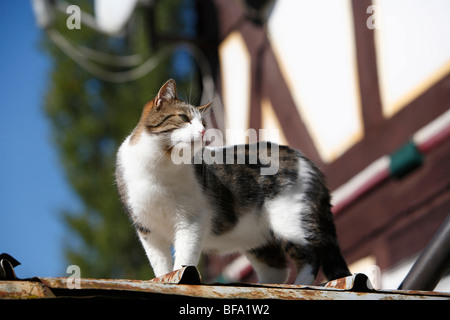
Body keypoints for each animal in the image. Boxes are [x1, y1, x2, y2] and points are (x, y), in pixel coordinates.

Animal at [113, 79, 352, 284]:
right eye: (183, 118)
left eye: (203, 123)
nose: (202, 132)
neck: (159, 166)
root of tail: (304, 158)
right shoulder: (147, 230)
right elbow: (160, 265)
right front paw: (165, 278)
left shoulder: (191, 221)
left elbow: (183, 258)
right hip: (257, 238)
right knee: (277, 269)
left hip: (290, 219)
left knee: (310, 255)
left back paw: (299, 284)